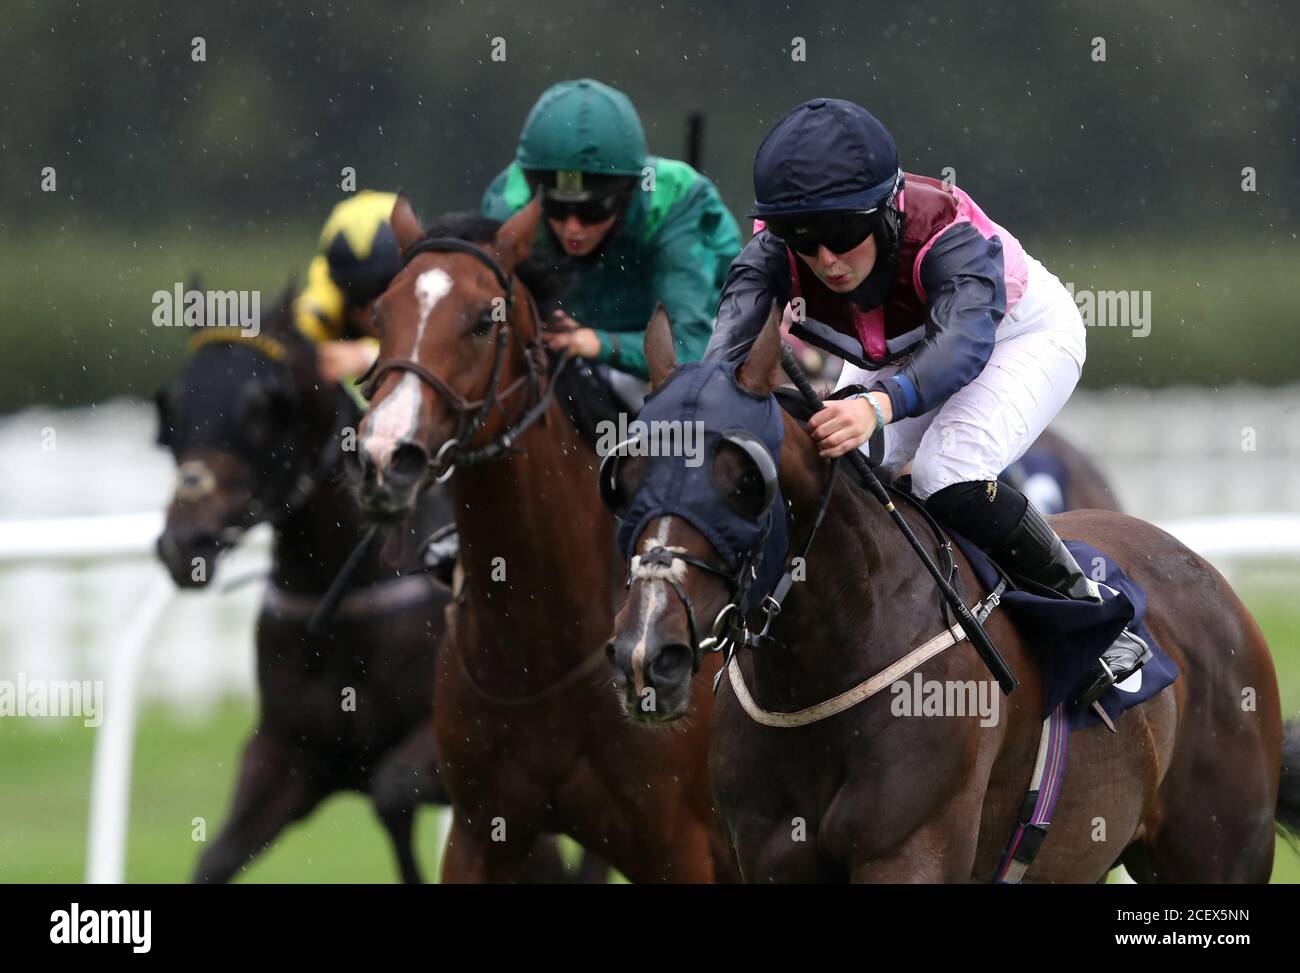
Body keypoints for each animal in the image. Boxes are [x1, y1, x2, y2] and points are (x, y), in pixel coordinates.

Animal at [156, 284, 454, 884]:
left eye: (261, 408)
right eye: (172, 404)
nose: (183, 541)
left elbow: (395, 795)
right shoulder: (286, 755)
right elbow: (213, 860)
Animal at [353, 197, 733, 879]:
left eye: (484, 321)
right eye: (380, 313)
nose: (383, 456)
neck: (545, 645)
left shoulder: (683, 846)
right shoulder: (480, 831)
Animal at [603, 309, 1294, 879]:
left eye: (747, 482)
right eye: (624, 475)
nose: (647, 653)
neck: (821, 669)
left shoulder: (911, 850)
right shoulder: (768, 855)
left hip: (1219, 847)